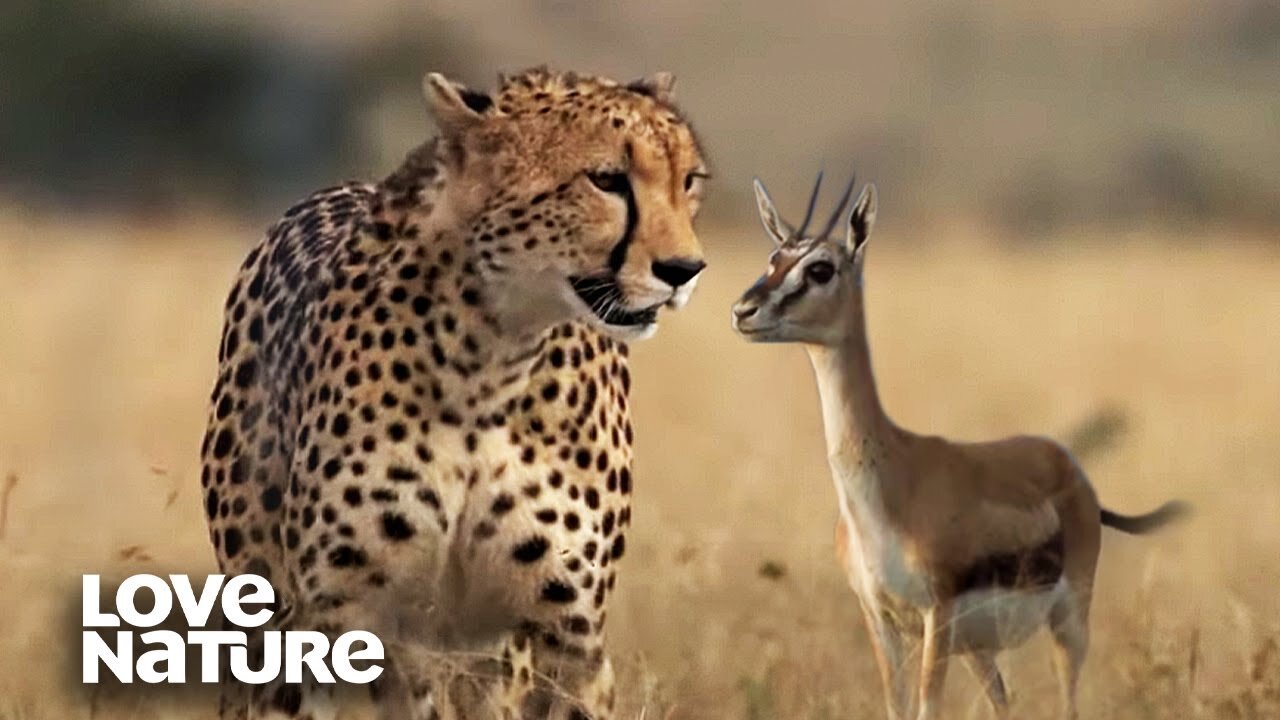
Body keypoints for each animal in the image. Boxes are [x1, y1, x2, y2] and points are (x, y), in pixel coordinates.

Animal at [197, 64, 711, 712]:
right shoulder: (338, 617)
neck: (490, 360)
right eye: (606, 180)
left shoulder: (565, 629)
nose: (684, 270)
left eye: (688, 181)